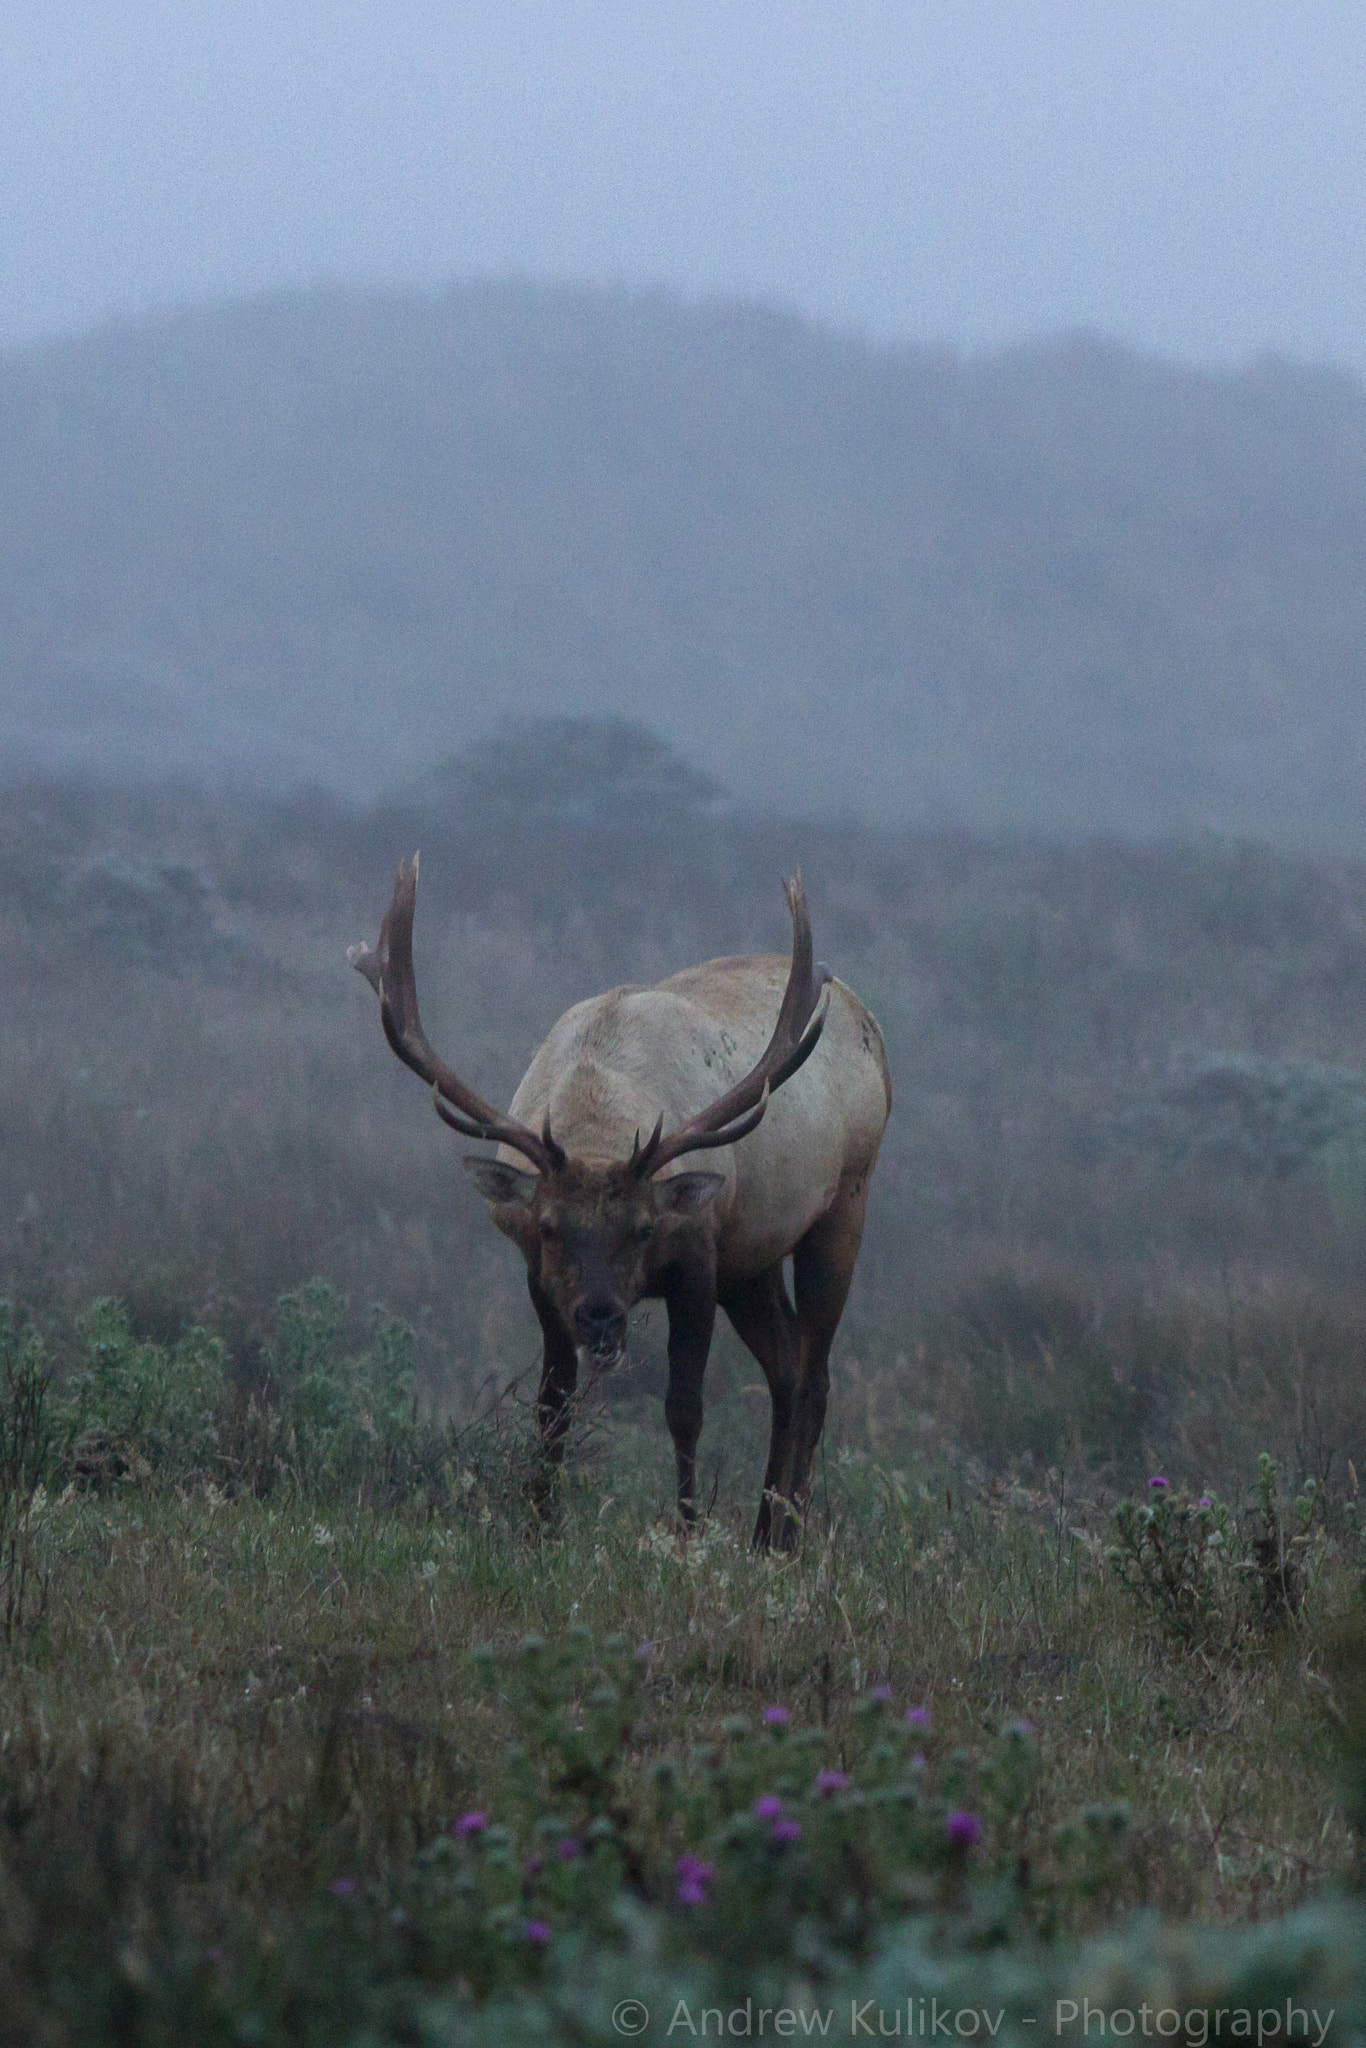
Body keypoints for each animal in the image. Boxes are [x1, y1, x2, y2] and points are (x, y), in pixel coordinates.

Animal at [349, 859, 890, 1549]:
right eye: (548, 1226)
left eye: (643, 1228)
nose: (602, 1318)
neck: (597, 1119)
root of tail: (866, 1020)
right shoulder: (541, 1277)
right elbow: (553, 1404)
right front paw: (541, 1523)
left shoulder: (698, 1257)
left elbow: (684, 1407)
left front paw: (687, 1532)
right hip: (753, 1259)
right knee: (787, 1369)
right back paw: (764, 1533)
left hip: (845, 1200)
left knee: (816, 1375)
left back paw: (789, 1536)